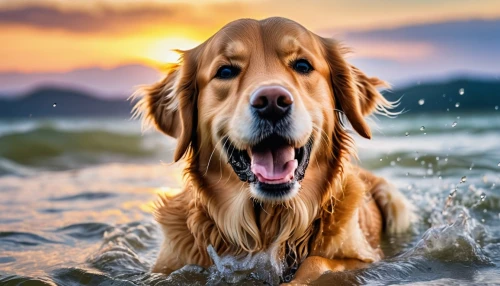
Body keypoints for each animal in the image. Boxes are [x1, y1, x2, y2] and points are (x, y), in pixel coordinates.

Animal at [132, 17, 414, 284]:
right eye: (225, 71)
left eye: (303, 66)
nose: (272, 102)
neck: (266, 228)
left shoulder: (365, 258)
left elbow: (320, 262)